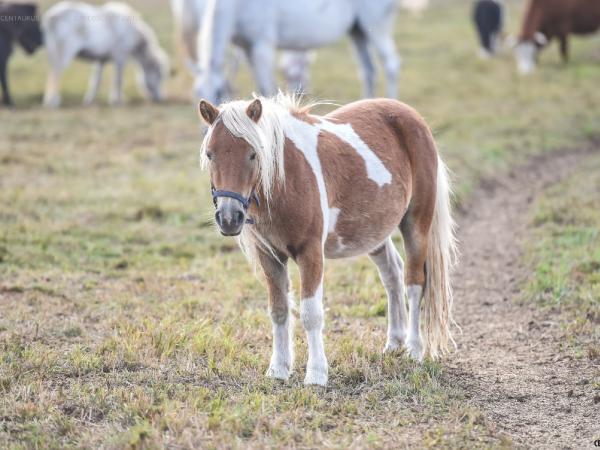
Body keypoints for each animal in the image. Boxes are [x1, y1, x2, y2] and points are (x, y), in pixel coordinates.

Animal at [42, 1, 170, 107]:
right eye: (159, 76)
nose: (159, 99)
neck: (130, 32)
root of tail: (52, 17)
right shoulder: (120, 57)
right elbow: (118, 80)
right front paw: (117, 101)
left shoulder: (101, 60)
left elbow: (96, 81)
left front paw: (89, 100)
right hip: (63, 51)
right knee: (56, 73)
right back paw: (53, 101)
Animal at [195, 0, 400, 103]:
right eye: (198, 94)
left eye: (218, 93)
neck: (239, 6)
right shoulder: (246, 49)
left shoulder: (263, 46)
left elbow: (265, 88)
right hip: (358, 32)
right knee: (368, 70)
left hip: (376, 27)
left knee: (391, 64)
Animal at [197, 93, 454, 384]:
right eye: (210, 154)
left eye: (253, 154)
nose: (229, 218)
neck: (289, 178)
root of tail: (412, 116)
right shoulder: (270, 257)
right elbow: (279, 311)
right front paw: (278, 370)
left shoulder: (310, 253)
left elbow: (311, 314)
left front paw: (316, 374)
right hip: (373, 233)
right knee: (392, 275)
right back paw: (394, 344)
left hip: (416, 225)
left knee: (414, 282)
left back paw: (413, 349)